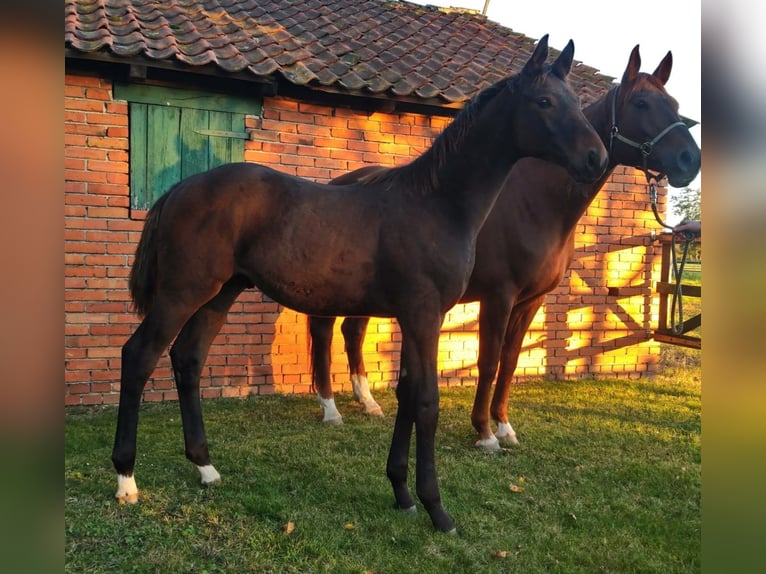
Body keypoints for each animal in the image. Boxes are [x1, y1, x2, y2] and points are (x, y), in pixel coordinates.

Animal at [112, 35, 612, 532]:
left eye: (576, 102)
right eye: (544, 102)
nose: (597, 157)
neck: (436, 203)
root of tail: (179, 189)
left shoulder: (415, 317)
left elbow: (407, 394)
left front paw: (402, 492)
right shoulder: (425, 314)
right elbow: (426, 402)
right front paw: (436, 508)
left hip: (220, 295)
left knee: (188, 359)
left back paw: (205, 467)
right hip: (181, 293)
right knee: (138, 356)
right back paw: (126, 480)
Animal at [306, 46, 704, 450]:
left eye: (674, 103)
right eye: (641, 103)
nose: (690, 160)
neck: (534, 203)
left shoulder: (532, 300)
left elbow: (511, 361)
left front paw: (504, 425)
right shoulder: (498, 295)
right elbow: (489, 361)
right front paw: (484, 432)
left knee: (353, 331)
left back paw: (368, 401)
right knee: (324, 332)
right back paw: (331, 408)